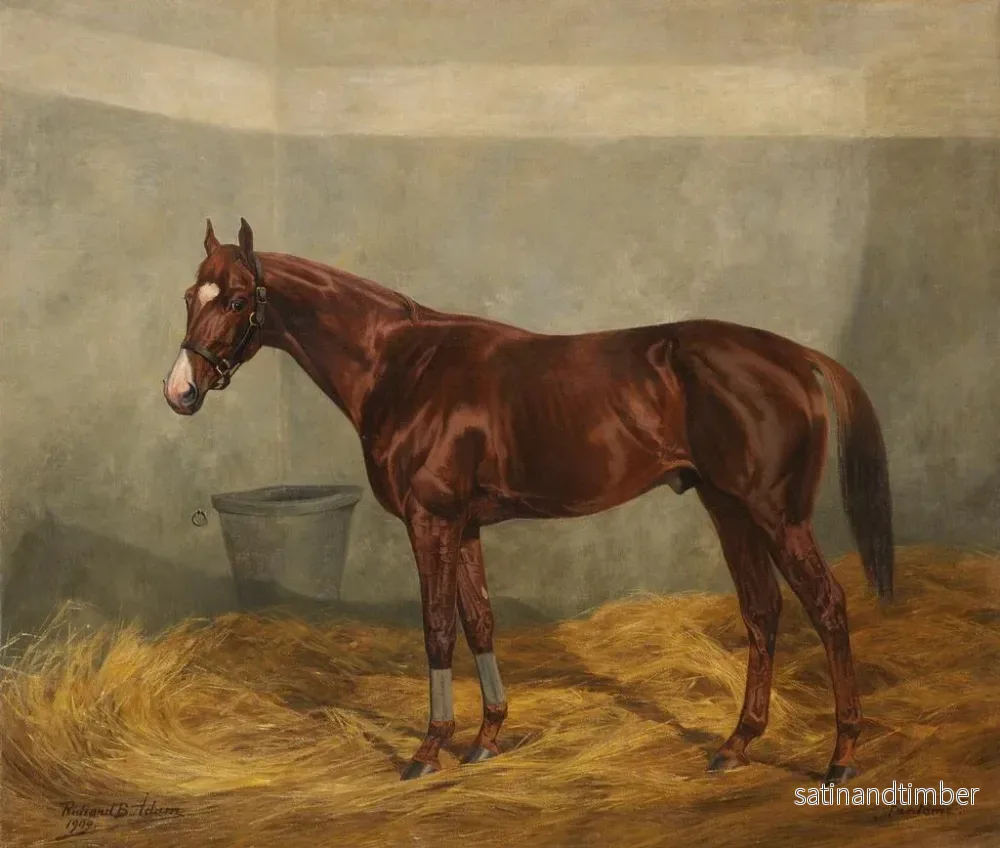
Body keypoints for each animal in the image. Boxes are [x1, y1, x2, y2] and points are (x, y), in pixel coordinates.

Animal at [164, 217, 894, 787]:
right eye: (190, 295)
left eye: (236, 299)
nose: (180, 390)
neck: (404, 365)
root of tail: (794, 354)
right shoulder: (463, 526)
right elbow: (480, 621)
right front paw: (487, 739)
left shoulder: (431, 520)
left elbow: (436, 626)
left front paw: (429, 748)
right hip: (729, 508)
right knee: (763, 612)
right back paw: (736, 744)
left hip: (777, 514)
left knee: (827, 607)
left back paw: (840, 755)